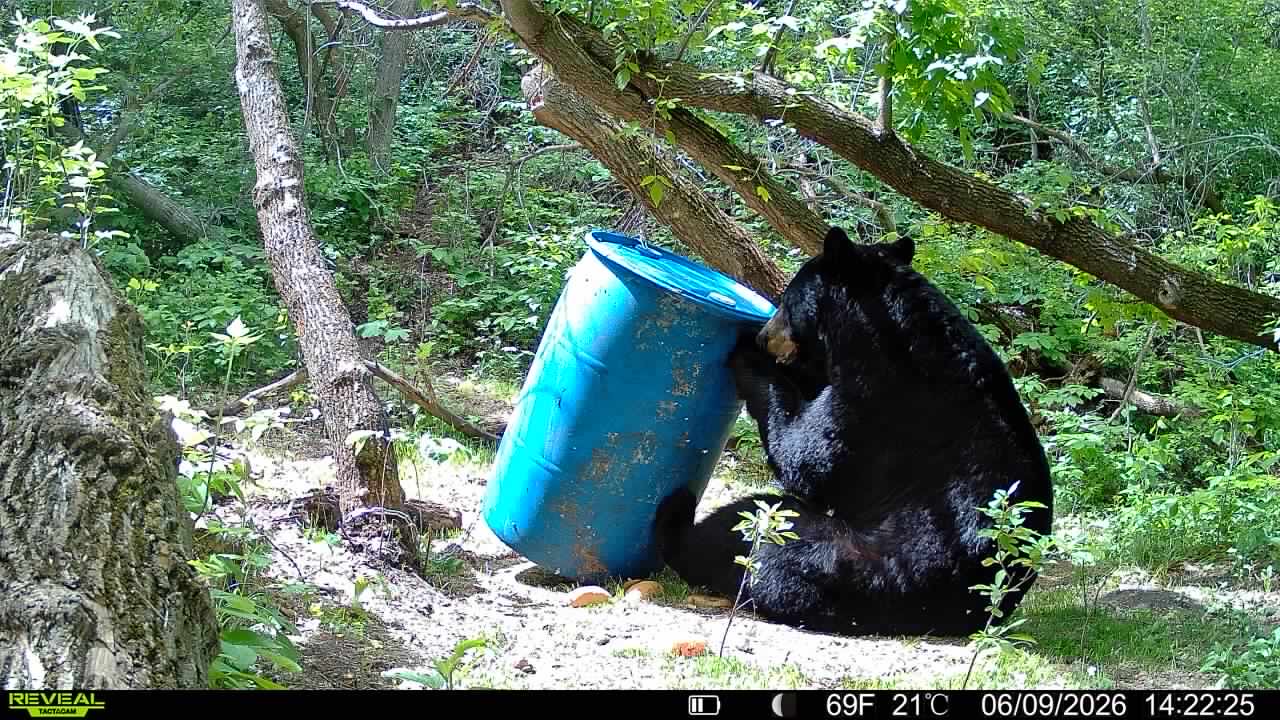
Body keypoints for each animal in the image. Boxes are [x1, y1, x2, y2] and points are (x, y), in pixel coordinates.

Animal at [653, 225, 1054, 637]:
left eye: (786, 299)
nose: (765, 334)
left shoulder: (874, 399)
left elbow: (809, 456)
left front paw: (751, 356)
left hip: (850, 562)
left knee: (753, 530)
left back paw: (677, 521)